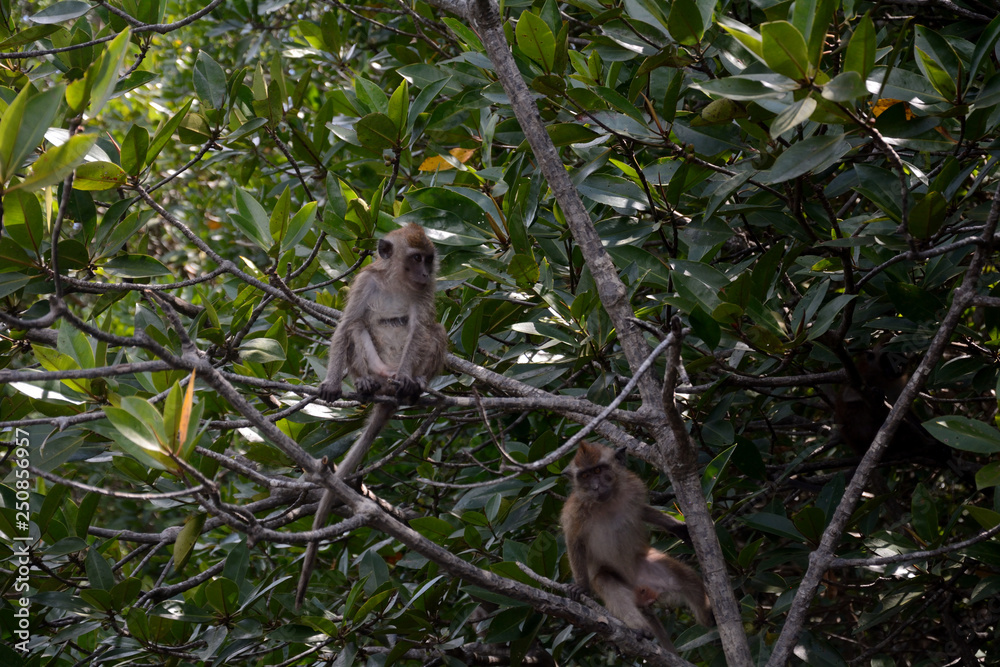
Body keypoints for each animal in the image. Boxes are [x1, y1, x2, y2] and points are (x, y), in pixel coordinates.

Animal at [296, 223, 447, 610]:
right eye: (416, 259)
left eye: (428, 260)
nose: (426, 273)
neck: (396, 281)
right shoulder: (365, 282)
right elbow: (347, 324)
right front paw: (332, 383)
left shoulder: (426, 294)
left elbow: (420, 328)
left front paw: (411, 379)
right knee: (357, 329)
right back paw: (369, 382)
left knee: (434, 330)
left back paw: (411, 386)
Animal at [560, 442, 713, 653]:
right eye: (585, 476)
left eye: (598, 470)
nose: (595, 487)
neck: (607, 501)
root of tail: (640, 590)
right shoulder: (576, 511)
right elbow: (574, 541)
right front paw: (581, 587)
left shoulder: (633, 488)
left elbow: (641, 510)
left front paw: (677, 528)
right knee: (607, 583)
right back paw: (640, 629)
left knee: (687, 579)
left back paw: (709, 617)